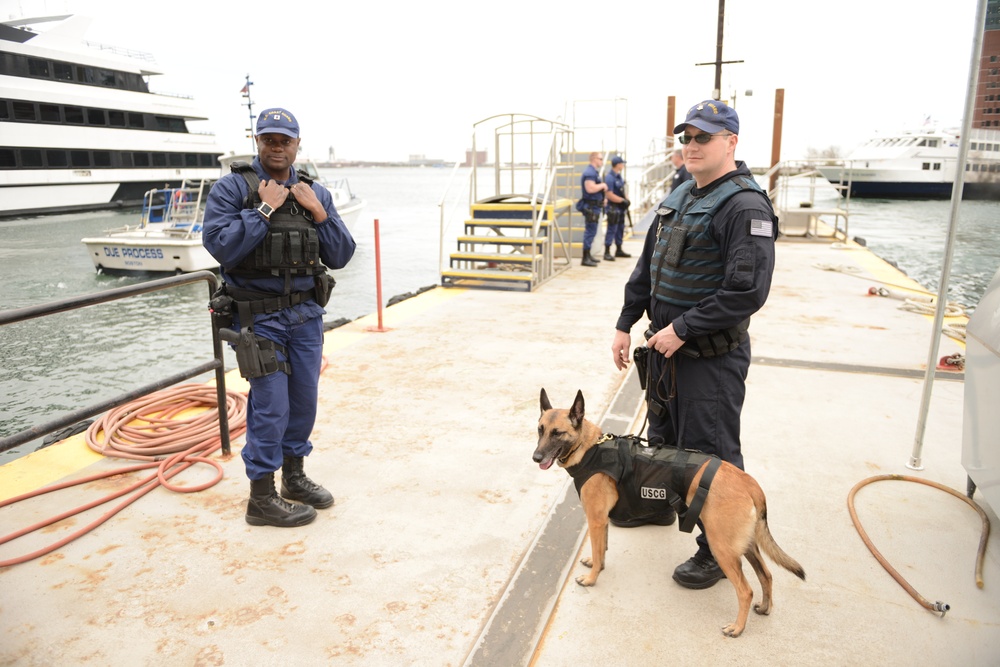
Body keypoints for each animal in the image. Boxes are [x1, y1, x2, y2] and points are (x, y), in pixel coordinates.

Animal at [532, 388, 804, 640]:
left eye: (557, 433)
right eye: (540, 430)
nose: (536, 457)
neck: (590, 447)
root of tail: (749, 482)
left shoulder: (596, 520)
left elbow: (599, 551)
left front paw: (591, 579)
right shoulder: (602, 521)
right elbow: (602, 549)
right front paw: (595, 564)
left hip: (721, 547)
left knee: (745, 590)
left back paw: (737, 628)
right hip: (746, 545)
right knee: (766, 575)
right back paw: (765, 608)